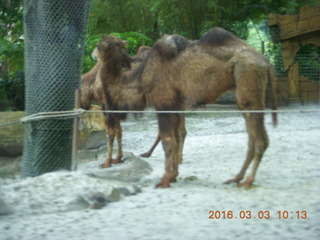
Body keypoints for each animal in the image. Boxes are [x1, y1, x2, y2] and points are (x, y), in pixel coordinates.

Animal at [96, 28, 276, 188]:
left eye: (98, 46)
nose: (93, 54)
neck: (139, 79)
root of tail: (265, 61)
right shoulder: (175, 105)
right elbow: (176, 138)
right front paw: (174, 175)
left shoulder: (164, 103)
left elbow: (168, 141)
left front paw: (165, 180)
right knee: (251, 135)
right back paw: (237, 178)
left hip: (246, 74)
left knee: (261, 138)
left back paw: (247, 181)